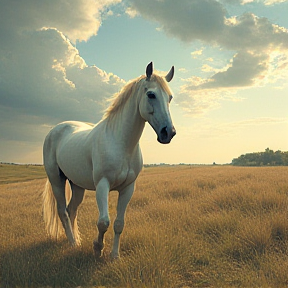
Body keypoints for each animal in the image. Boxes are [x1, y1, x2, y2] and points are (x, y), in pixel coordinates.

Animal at [41, 61, 174, 258]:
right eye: (151, 94)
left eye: (170, 98)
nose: (168, 132)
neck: (120, 143)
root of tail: (55, 129)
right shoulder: (102, 185)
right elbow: (103, 222)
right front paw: (97, 248)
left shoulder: (128, 188)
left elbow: (119, 223)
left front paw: (114, 255)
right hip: (56, 180)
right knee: (63, 212)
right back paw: (72, 243)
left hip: (77, 185)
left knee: (72, 210)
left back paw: (77, 241)